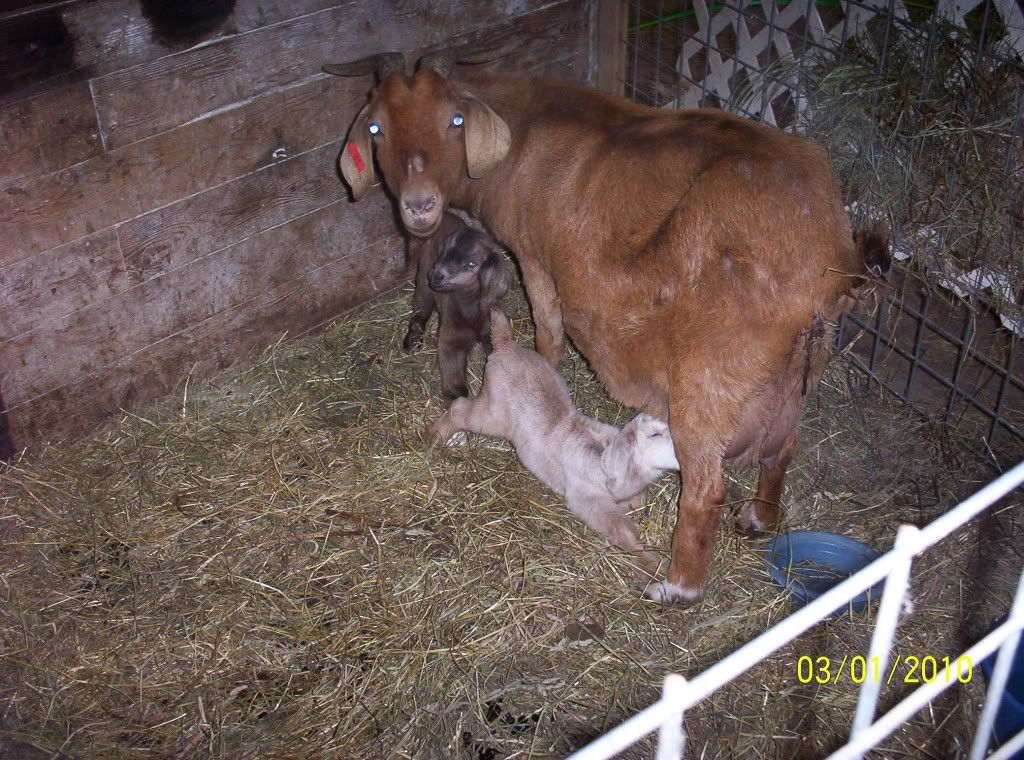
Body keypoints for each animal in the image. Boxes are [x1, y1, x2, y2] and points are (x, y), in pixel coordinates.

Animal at [403, 210, 508, 401]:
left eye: (471, 264)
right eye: (443, 253)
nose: (436, 276)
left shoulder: (490, 329)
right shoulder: (451, 340)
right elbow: (454, 384)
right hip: (423, 278)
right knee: (421, 307)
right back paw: (412, 340)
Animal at [431, 309, 678, 580]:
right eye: (654, 435)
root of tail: (506, 344)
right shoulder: (590, 503)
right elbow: (622, 531)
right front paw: (652, 565)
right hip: (493, 414)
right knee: (460, 408)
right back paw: (434, 435)